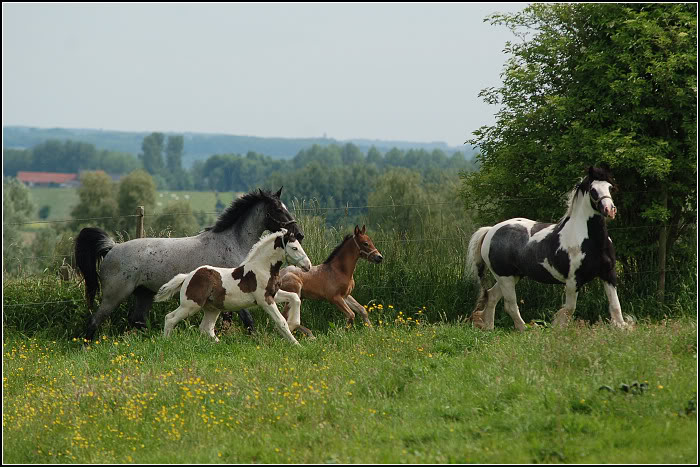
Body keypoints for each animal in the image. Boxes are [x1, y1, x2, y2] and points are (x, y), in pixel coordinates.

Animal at [74, 188, 304, 342]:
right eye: (277, 209)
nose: (298, 233)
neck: (232, 242)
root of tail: (111, 248)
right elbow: (247, 320)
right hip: (114, 296)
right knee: (95, 320)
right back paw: (86, 346)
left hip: (144, 294)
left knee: (137, 320)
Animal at [468, 166, 628, 330]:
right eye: (593, 190)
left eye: (610, 187)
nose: (610, 210)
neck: (590, 241)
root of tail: (490, 231)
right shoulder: (573, 281)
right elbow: (569, 308)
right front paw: (558, 327)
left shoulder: (608, 274)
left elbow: (615, 305)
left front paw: (622, 327)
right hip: (504, 277)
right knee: (510, 305)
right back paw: (526, 329)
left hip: (513, 276)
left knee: (492, 296)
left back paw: (489, 327)